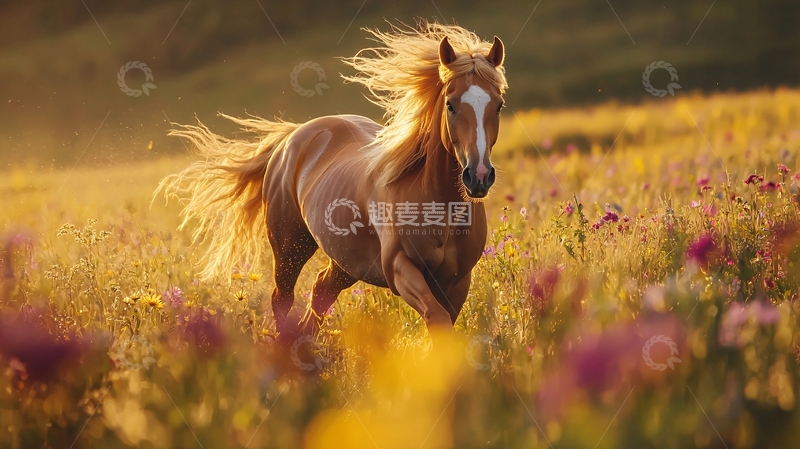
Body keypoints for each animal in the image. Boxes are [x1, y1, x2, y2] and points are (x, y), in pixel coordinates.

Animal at [157, 22, 508, 340]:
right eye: (450, 104)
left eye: (499, 104)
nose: (478, 176)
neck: (439, 207)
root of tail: (292, 137)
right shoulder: (400, 268)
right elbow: (437, 320)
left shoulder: (457, 282)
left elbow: (442, 330)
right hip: (290, 247)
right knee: (283, 299)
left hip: (346, 262)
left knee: (320, 293)